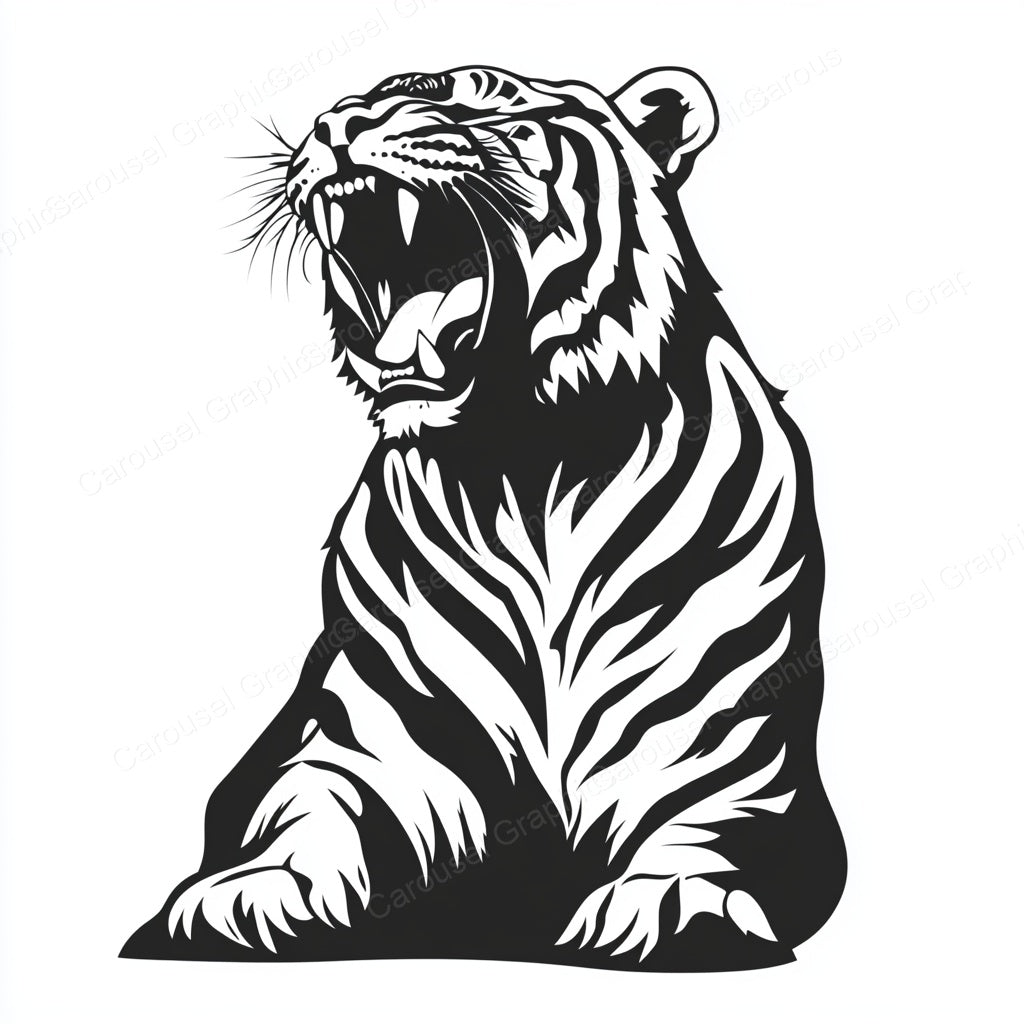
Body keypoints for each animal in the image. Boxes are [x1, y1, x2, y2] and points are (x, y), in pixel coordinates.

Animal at [121, 65, 846, 971]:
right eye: (350, 107)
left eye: (481, 100)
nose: (336, 123)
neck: (524, 467)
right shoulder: (378, 729)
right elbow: (312, 802)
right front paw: (249, 891)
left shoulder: (723, 733)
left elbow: (707, 821)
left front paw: (673, 900)